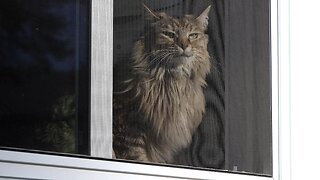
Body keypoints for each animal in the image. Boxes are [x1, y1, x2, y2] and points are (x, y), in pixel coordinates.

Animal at [113, 5, 212, 163]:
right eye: (169, 34)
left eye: (193, 35)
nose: (184, 45)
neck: (173, 82)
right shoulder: (128, 128)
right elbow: (138, 157)